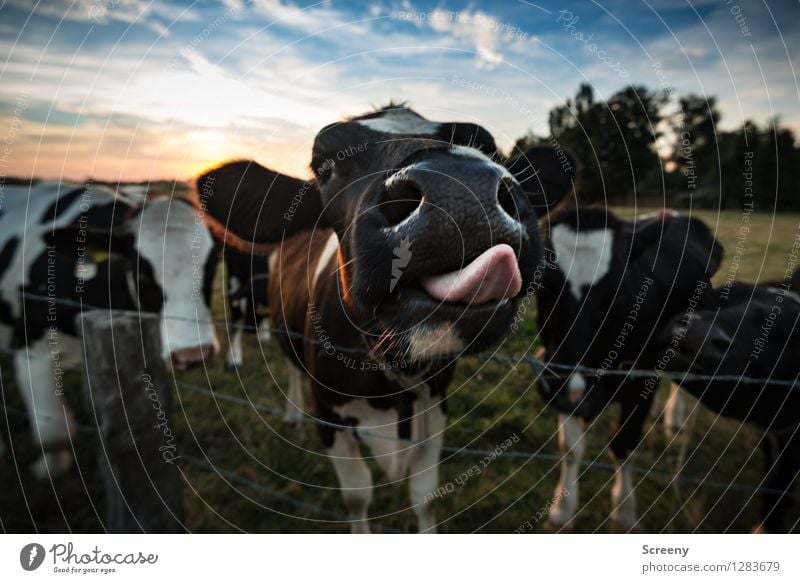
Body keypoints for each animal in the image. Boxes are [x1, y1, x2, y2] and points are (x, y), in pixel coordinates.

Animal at [0, 182, 219, 480]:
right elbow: (52, 430)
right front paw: (47, 469)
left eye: (212, 264)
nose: (193, 354)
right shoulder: (30, 345)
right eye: (140, 273)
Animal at [199, 104, 576, 532]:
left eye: (486, 145)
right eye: (324, 164)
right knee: (291, 366)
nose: (460, 188)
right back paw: (292, 413)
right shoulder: (329, 415)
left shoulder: (436, 405)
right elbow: (357, 495)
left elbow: (424, 494)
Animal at [536, 208, 720, 532]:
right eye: (544, 289)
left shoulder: (640, 378)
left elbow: (623, 443)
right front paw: (562, 509)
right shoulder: (560, 381)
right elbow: (570, 448)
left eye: (618, 294)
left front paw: (623, 511)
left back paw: (674, 419)